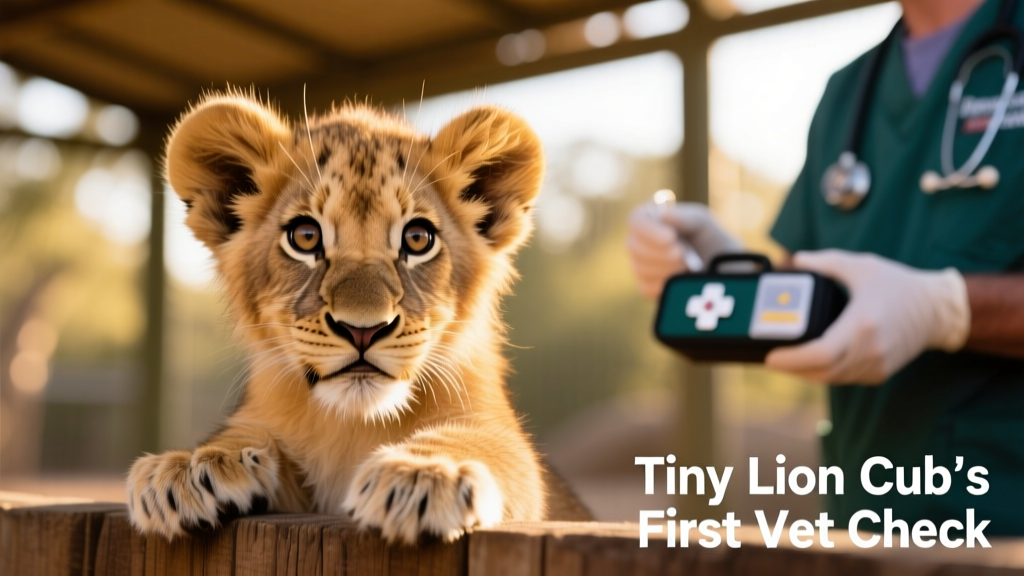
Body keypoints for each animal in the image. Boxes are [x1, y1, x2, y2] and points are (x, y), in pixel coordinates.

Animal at [125, 91, 590, 544]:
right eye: (305, 236)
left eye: (417, 238)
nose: (362, 330)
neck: (354, 423)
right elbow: (246, 432)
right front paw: (190, 467)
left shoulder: (504, 439)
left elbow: (489, 446)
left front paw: (423, 475)